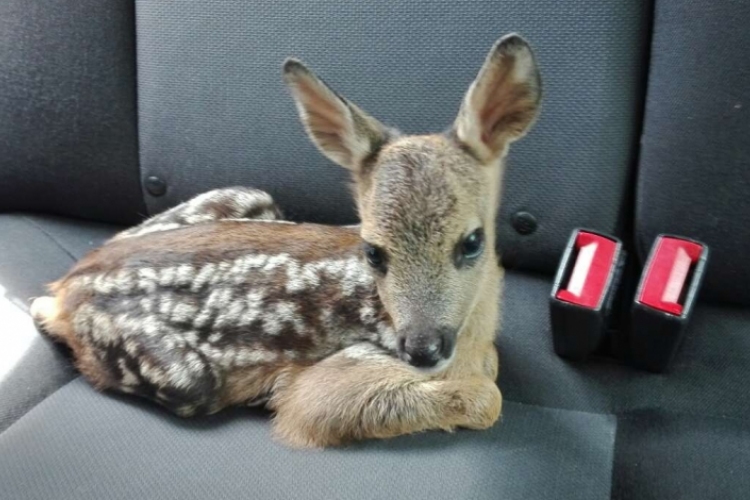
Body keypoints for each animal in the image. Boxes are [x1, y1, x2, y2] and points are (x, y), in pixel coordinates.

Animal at [33, 36, 540, 450]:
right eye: (373, 252)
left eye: (472, 241)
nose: (422, 349)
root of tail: (69, 285)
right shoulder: (335, 381)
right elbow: (487, 400)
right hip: (185, 376)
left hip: (248, 195)